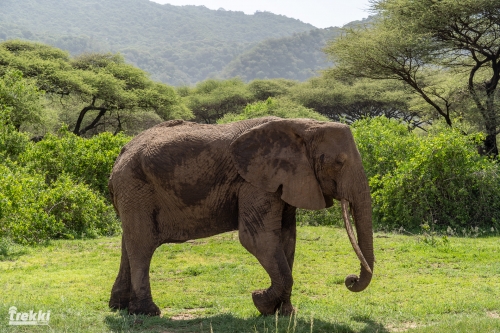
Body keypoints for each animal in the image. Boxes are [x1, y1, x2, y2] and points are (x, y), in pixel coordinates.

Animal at [107, 115, 374, 316]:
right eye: (339, 162)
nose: (350, 279)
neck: (301, 126)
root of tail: (121, 152)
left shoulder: (283, 180)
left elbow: (287, 239)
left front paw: (285, 313)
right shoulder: (253, 182)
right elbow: (258, 239)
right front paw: (261, 302)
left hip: (132, 192)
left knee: (129, 243)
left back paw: (119, 307)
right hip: (136, 187)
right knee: (142, 244)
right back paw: (148, 312)